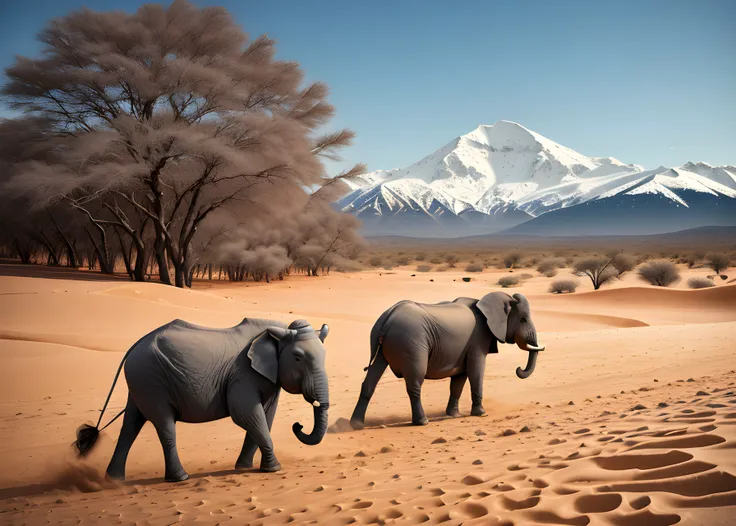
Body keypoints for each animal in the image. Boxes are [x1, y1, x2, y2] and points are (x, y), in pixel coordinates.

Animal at [72, 318, 330, 482]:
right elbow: (246, 414)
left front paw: (244, 468)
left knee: (130, 424)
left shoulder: (267, 376)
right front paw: (274, 469)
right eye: (298, 358)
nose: (298, 425)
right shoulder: (244, 373)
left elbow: (265, 417)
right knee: (164, 426)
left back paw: (113, 480)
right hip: (151, 379)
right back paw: (179, 478)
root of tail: (135, 345)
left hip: (141, 381)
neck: (278, 330)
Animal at [348, 294, 544, 432]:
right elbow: (476, 371)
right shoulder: (478, 339)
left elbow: (459, 380)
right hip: (411, 342)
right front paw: (481, 413)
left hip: (383, 343)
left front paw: (453, 415)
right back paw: (422, 422)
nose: (518, 369)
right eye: (523, 319)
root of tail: (389, 316)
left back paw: (355, 425)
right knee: (415, 382)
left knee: (370, 380)